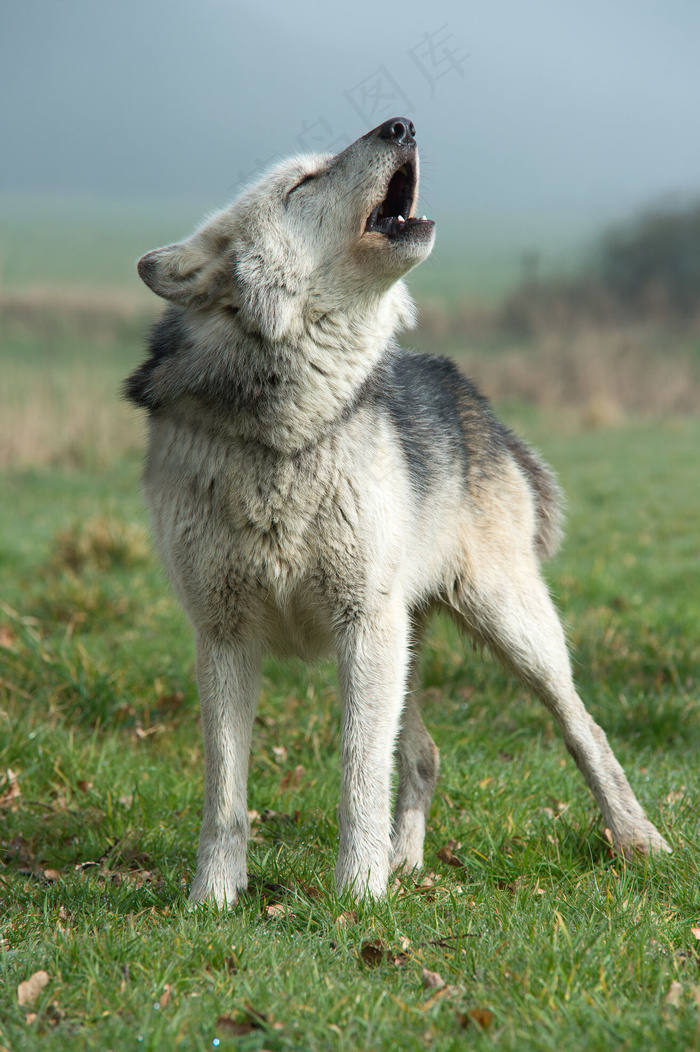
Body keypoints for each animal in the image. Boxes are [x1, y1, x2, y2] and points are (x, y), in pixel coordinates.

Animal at [124, 115, 665, 904]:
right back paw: (407, 863)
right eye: (303, 183)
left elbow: (358, 776)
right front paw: (212, 902)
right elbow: (225, 794)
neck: (289, 431)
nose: (400, 125)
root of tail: (472, 395)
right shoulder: (223, 636)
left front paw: (356, 896)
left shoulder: (361, 624)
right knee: (424, 754)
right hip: (404, 644)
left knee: (580, 728)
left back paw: (637, 840)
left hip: (505, 628)